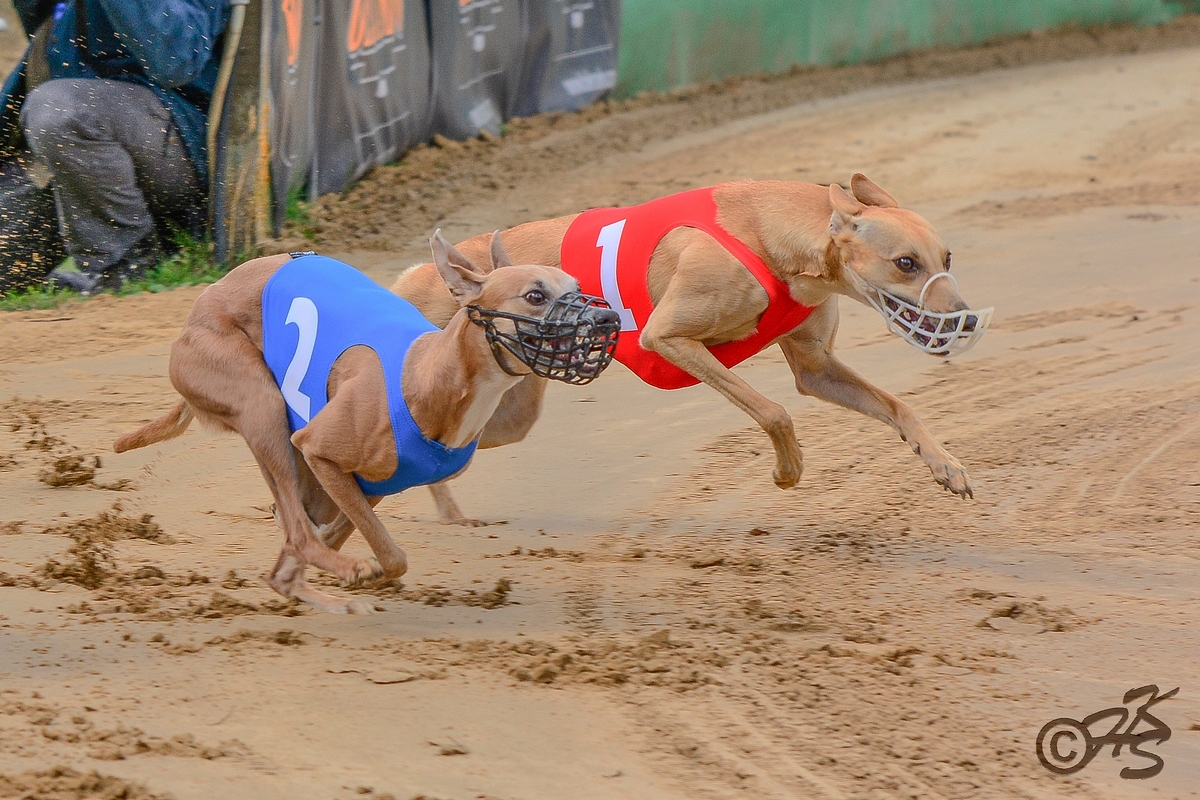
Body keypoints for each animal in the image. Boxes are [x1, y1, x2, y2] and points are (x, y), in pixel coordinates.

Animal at [112, 232, 619, 613]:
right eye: (534, 295)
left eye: (575, 283)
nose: (607, 317)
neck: (428, 375)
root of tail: (197, 310)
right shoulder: (318, 448)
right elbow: (389, 555)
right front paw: (362, 573)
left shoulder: (367, 484)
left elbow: (356, 540)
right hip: (262, 406)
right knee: (297, 532)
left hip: (302, 470)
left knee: (290, 553)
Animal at [392, 175, 992, 525]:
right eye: (905, 263)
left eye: (947, 256)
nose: (965, 319)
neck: (766, 234)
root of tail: (422, 273)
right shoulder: (669, 337)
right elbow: (773, 411)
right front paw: (788, 470)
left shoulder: (816, 367)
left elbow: (899, 406)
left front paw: (946, 465)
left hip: (508, 412)